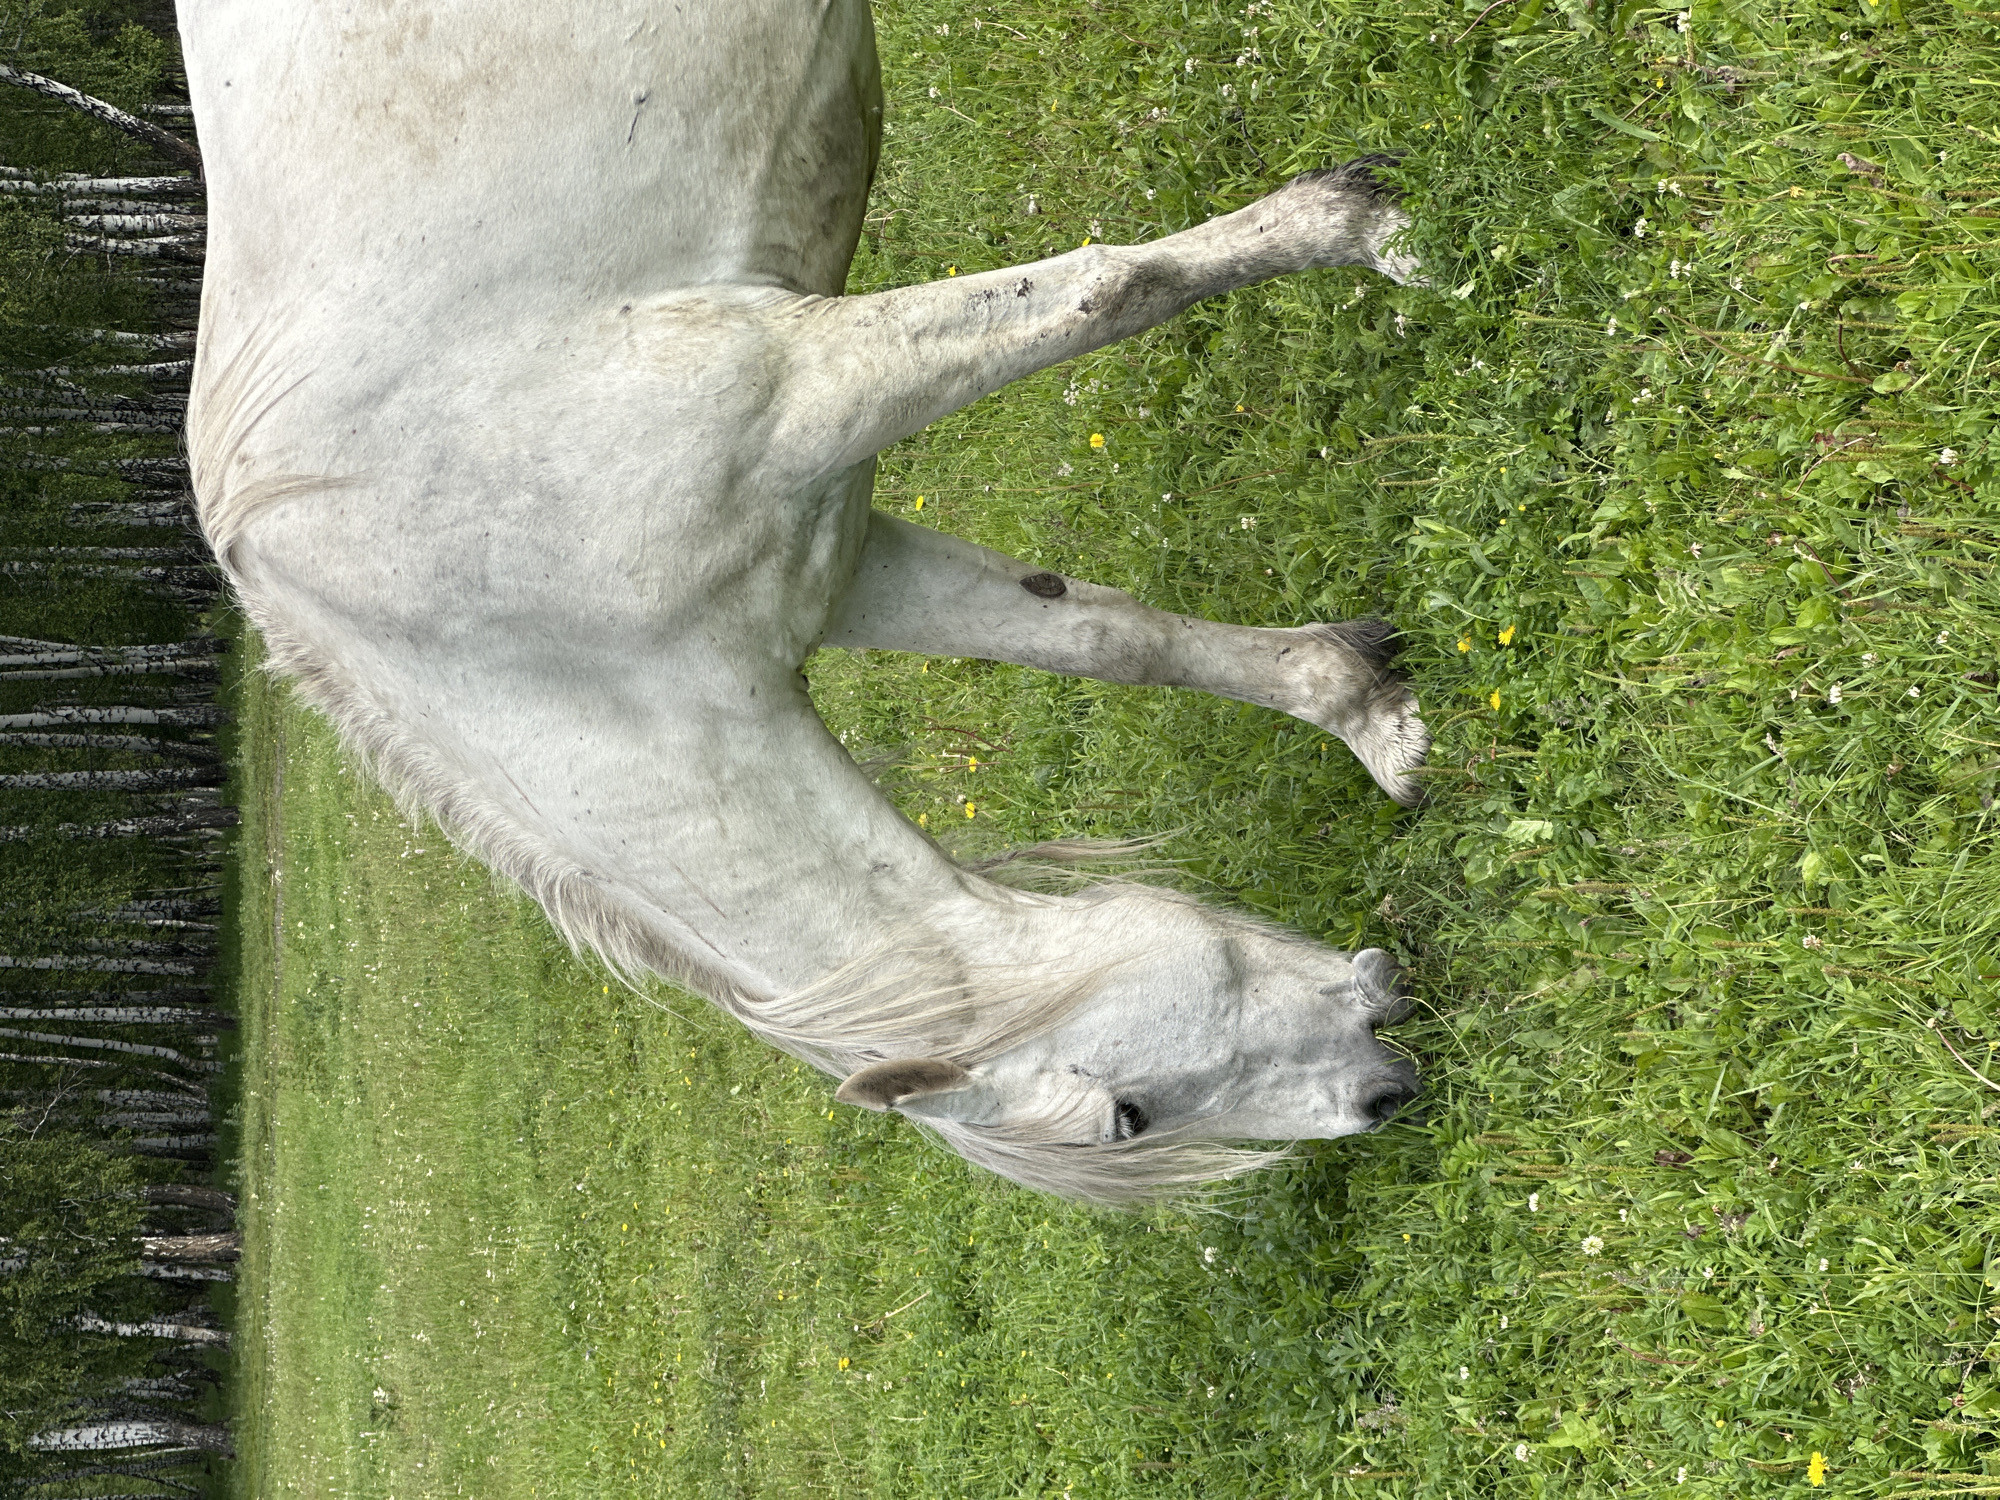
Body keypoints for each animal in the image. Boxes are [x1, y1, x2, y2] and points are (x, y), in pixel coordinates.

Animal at [180, 0, 1430, 1200]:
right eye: (1130, 1117)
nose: (1382, 1090)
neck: (495, 617)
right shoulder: (840, 566)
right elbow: (1108, 636)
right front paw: (1368, 714)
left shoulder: (795, 395)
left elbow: (1111, 287)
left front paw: (1373, 228)